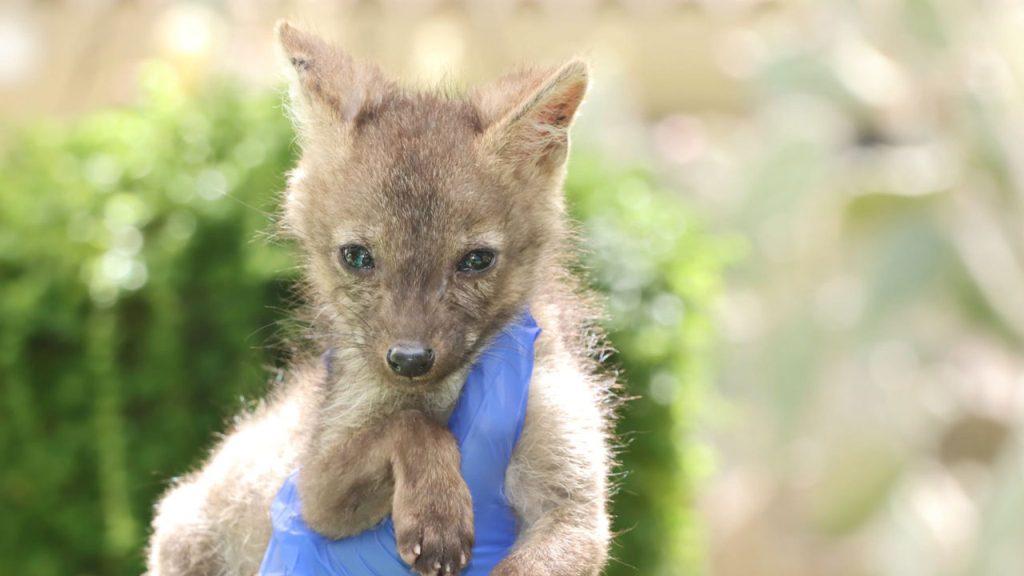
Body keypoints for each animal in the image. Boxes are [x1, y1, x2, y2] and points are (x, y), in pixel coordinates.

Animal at [146, 22, 615, 576]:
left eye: (476, 260)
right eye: (357, 256)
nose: (409, 360)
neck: (448, 393)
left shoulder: (573, 507)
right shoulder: (316, 491)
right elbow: (409, 426)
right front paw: (437, 513)